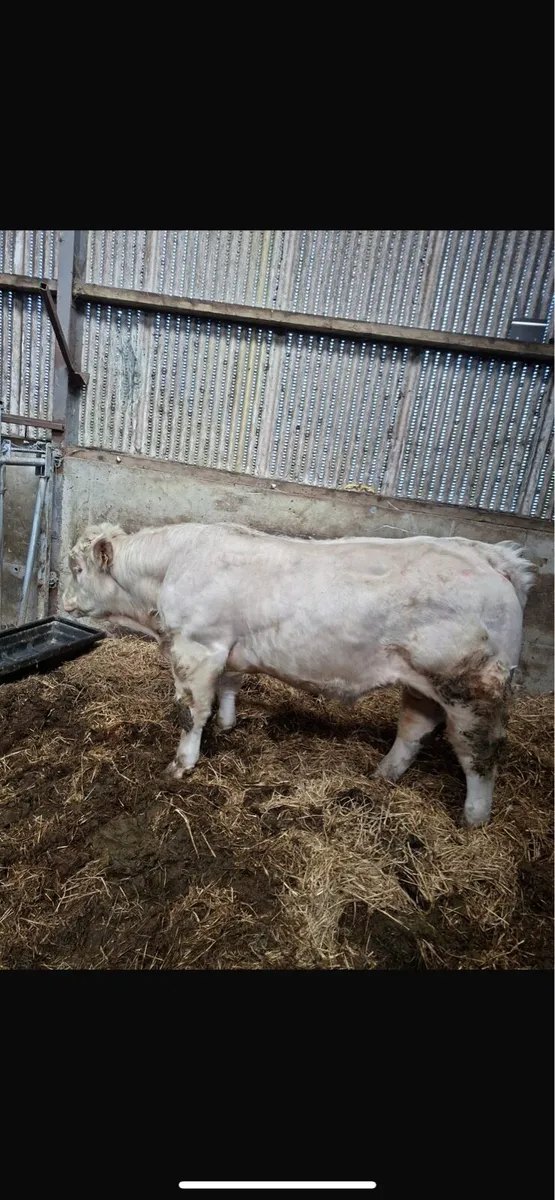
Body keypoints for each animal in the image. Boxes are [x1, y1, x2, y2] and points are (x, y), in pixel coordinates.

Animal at [62, 521, 535, 827]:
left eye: (76, 568)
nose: (63, 601)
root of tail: (489, 555)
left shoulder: (197, 648)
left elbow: (190, 712)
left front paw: (181, 765)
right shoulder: (229, 650)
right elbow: (229, 688)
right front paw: (228, 725)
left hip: (471, 688)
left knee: (479, 751)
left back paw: (473, 820)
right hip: (422, 683)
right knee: (414, 729)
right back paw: (382, 777)